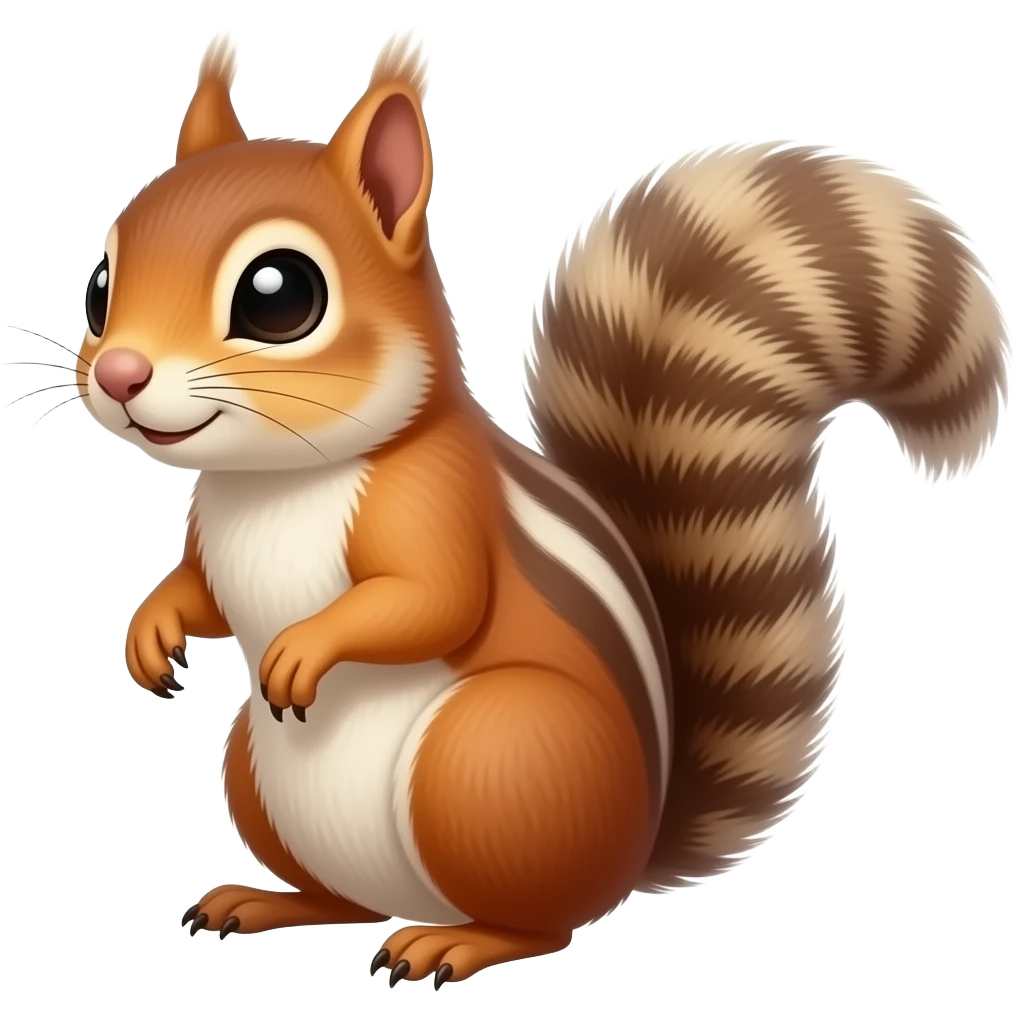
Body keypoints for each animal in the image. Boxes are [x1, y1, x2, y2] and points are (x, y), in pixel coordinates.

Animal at [70, 21, 1009, 989]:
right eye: (100, 283)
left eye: (280, 294)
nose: (120, 374)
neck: (275, 480)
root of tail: (633, 851)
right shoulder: (211, 535)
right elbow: (202, 592)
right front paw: (151, 632)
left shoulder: (434, 503)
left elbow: (433, 600)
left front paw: (303, 649)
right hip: (257, 771)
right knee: (348, 901)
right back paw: (267, 902)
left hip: (492, 757)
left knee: (542, 922)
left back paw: (454, 942)